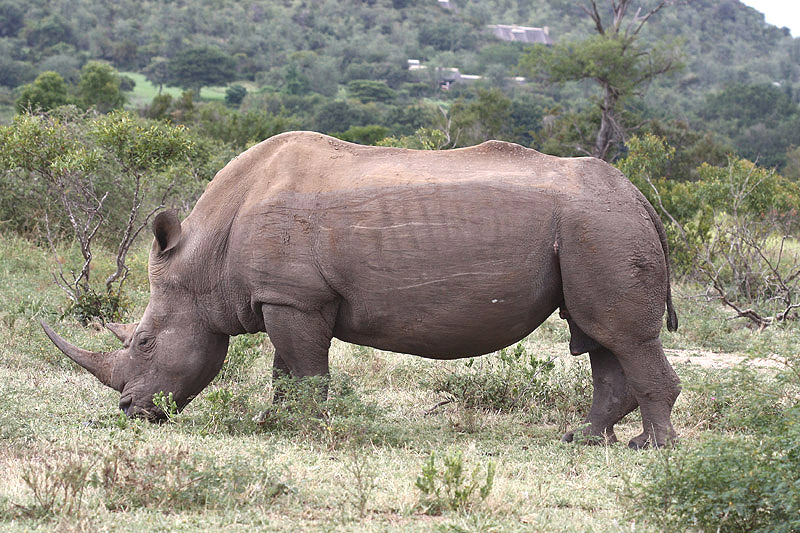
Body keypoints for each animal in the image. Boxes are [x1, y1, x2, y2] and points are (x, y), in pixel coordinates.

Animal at [42, 131, 681, 448]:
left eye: (144, 342)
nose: (130, 412)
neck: (205, 257)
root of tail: (638, 197)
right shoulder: (285, 297)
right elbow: (286, 368)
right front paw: (273, 423)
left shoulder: (294, 298)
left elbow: (304, 367)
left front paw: (304, 428)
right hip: (593, 226)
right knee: (598, 337)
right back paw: (583, 439)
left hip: (600, 226)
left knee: (621, 335)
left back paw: (649, 449)